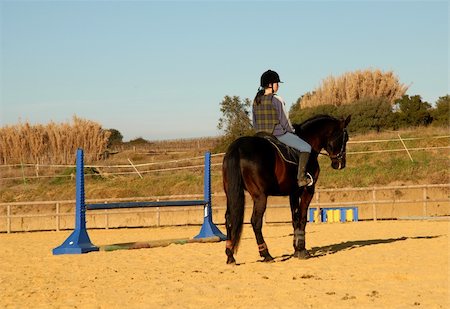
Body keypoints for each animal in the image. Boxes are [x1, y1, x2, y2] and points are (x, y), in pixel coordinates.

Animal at [223, 114, 350, 264]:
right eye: (345, 138)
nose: (340, 164)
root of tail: (238, 147)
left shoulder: (293, 193)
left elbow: (294, 218)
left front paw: (296, 249)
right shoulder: (308, 190)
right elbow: (302, 217)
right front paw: (302, 250)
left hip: (230, 194)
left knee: (229, 219)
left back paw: (230, 255)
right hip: (260, 196)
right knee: (256, 221)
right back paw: (266, 254)